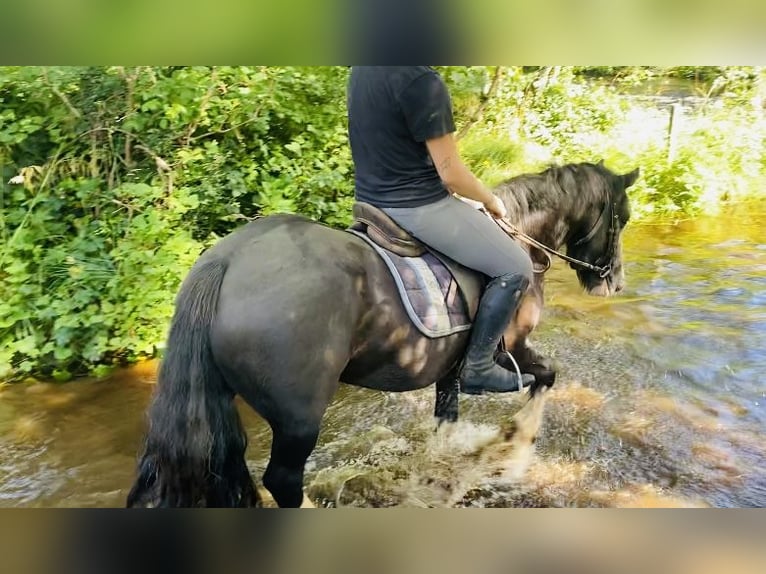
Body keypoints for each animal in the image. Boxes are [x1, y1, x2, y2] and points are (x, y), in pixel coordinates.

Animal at [127, 161, 640, 508]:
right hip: (298, 418)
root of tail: (226, 261)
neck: (518, 236)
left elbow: (445, 425)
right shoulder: (511, 348)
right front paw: (516, 446)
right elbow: (547, 376)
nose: (613, 282)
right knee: (283, 481)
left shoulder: (450, 371)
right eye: (623, 217)